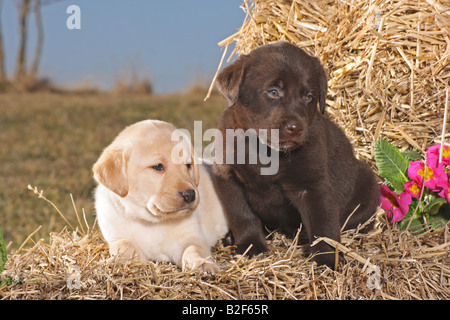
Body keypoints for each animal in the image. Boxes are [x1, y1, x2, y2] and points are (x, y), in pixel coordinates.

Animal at [94, 120, 229, 272]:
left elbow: (194, 249)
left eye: (188, 165)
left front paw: (202, 263)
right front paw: (118, 262)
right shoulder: (117, 237)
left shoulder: (191, 236)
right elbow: (124, 246)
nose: (190, 195)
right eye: (158, 166)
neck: (150, 221)